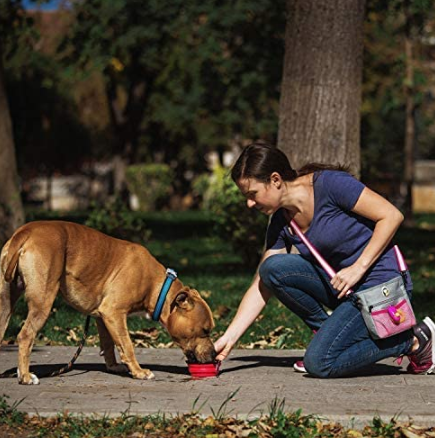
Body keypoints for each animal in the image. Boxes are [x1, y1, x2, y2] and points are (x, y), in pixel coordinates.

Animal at [0, 221, 217, 384]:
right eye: (205, 330)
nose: (215, 355)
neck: (158, 287)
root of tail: (25, 231)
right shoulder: (114, 312)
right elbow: (127, 344)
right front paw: (139, 371)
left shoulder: (102, 317)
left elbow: (110, 343)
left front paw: (113, 366)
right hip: (42, 302)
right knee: (26, 335)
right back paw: (25, 376)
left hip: (5, 302)